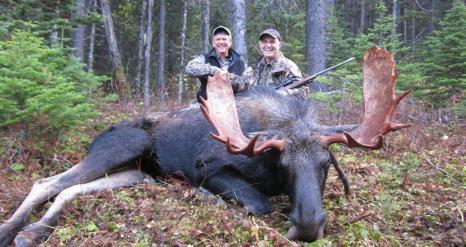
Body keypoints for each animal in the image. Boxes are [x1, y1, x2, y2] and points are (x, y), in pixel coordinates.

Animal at [0, 46, 410, 245]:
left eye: (326, 164)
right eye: (283, 164)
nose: (309, 226)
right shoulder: (210, 168)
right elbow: (258, 204)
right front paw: (208, 197)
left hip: (135, 173)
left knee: (73, 189)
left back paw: (34, 231)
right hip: (118, 149)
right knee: (47, 182)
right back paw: (14, 231)